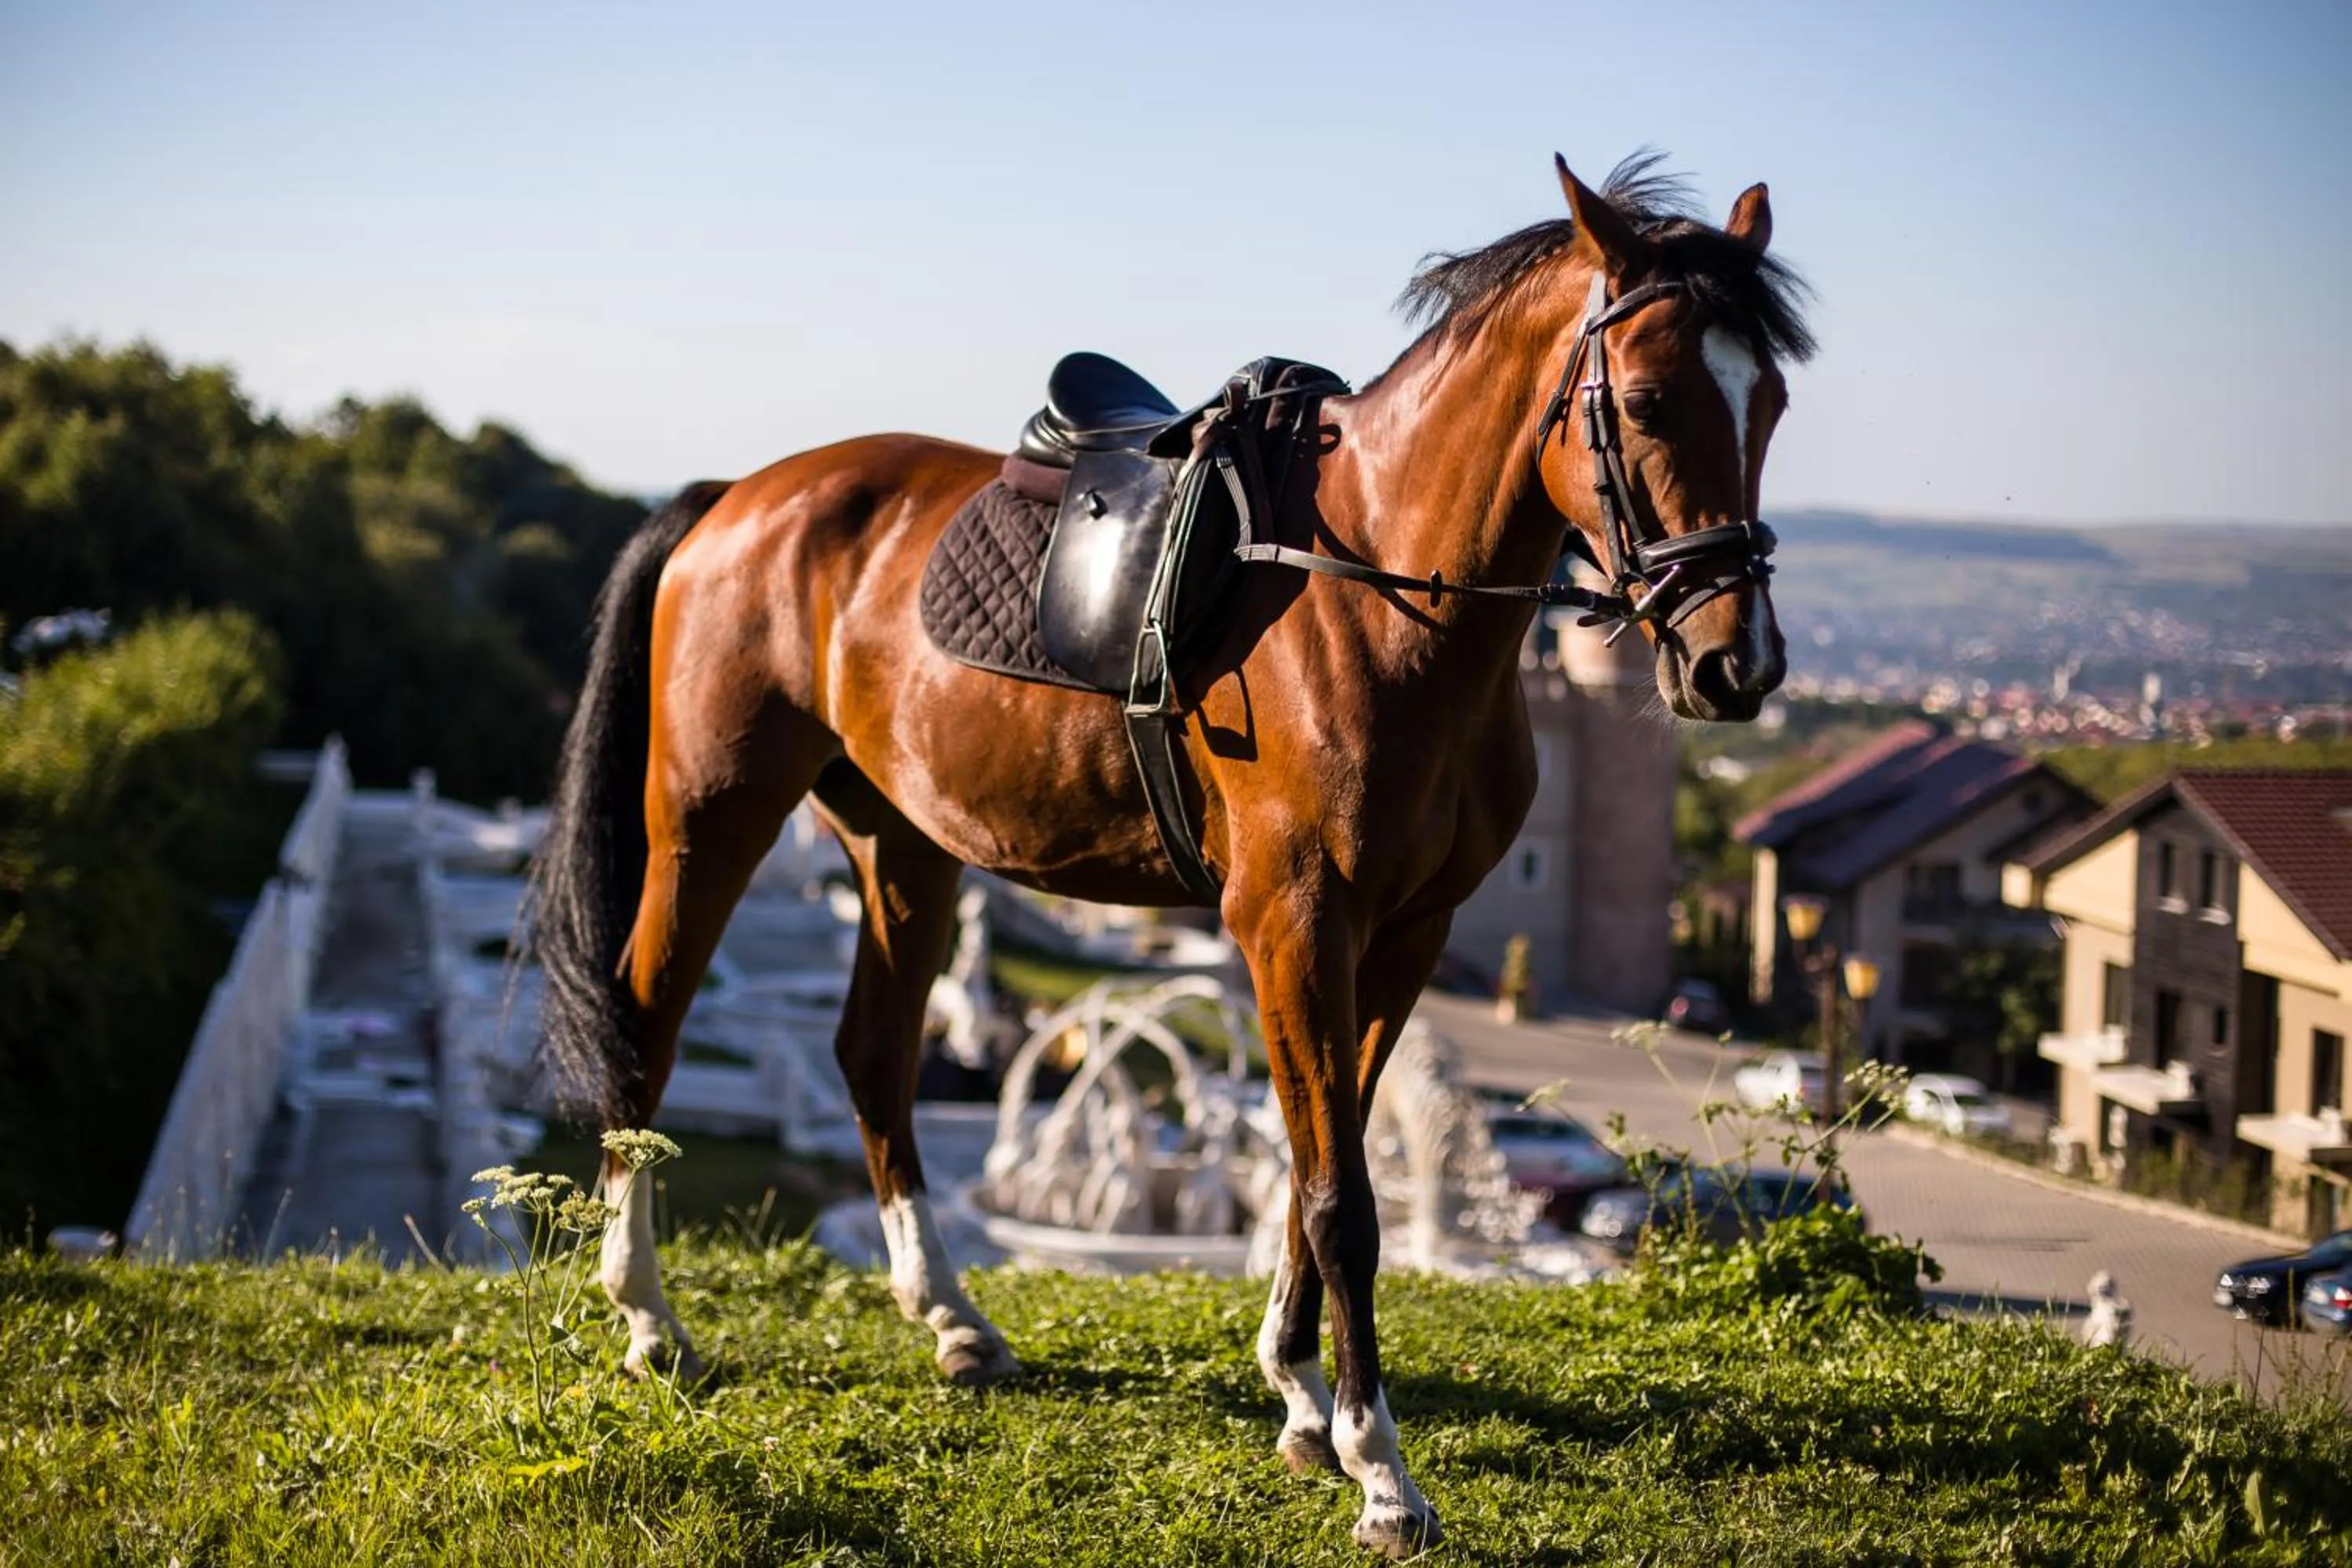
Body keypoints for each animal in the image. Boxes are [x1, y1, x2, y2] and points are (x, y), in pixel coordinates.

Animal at [527, 151, 1813, 1558]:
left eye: (1771, 402)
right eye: (1641, 400)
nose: (1735, 667)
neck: (1375, 596)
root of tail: (739, 498)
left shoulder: (1404, 934)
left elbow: (1318, 1163)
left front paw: (1302, 1402)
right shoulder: (1296, 924)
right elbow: (1339, 1198)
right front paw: (1379, 1468)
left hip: (903, 842)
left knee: (872, 1053)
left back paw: (953, 1321)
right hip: (710, 813)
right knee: (648, 1024)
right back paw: (650, 1318)